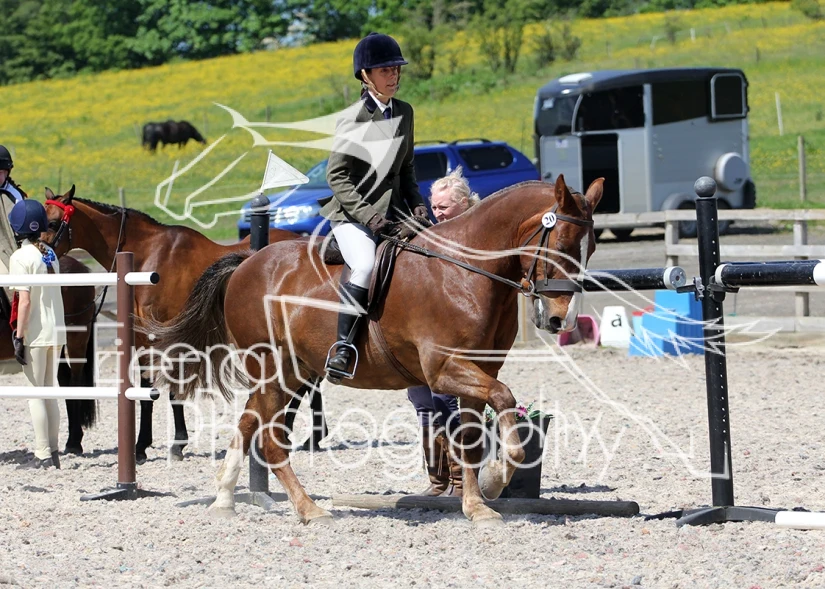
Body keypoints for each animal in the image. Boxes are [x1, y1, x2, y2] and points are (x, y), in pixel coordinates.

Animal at [42, 185, 322, 464]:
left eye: (53, 223)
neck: (147, 255)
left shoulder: (167, 335)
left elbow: (172, 389)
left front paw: (174, 444)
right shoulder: (143, 338)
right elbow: (147, 389)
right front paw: (143, 446)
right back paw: (309, 437)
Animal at [149, 175, 603, 525]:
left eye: (591, 248)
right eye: (561, 243)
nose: (560, 320)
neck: (467, 272)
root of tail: (246, 261)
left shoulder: (479, 370)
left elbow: (471, 437)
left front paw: (478, 505)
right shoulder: (445, 369)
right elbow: (505, 400)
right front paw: (497, 477)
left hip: (290, 371)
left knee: (248, 422)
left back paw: (225, 500)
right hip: (272, 368)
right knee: (271, 440)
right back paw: (310, 510)